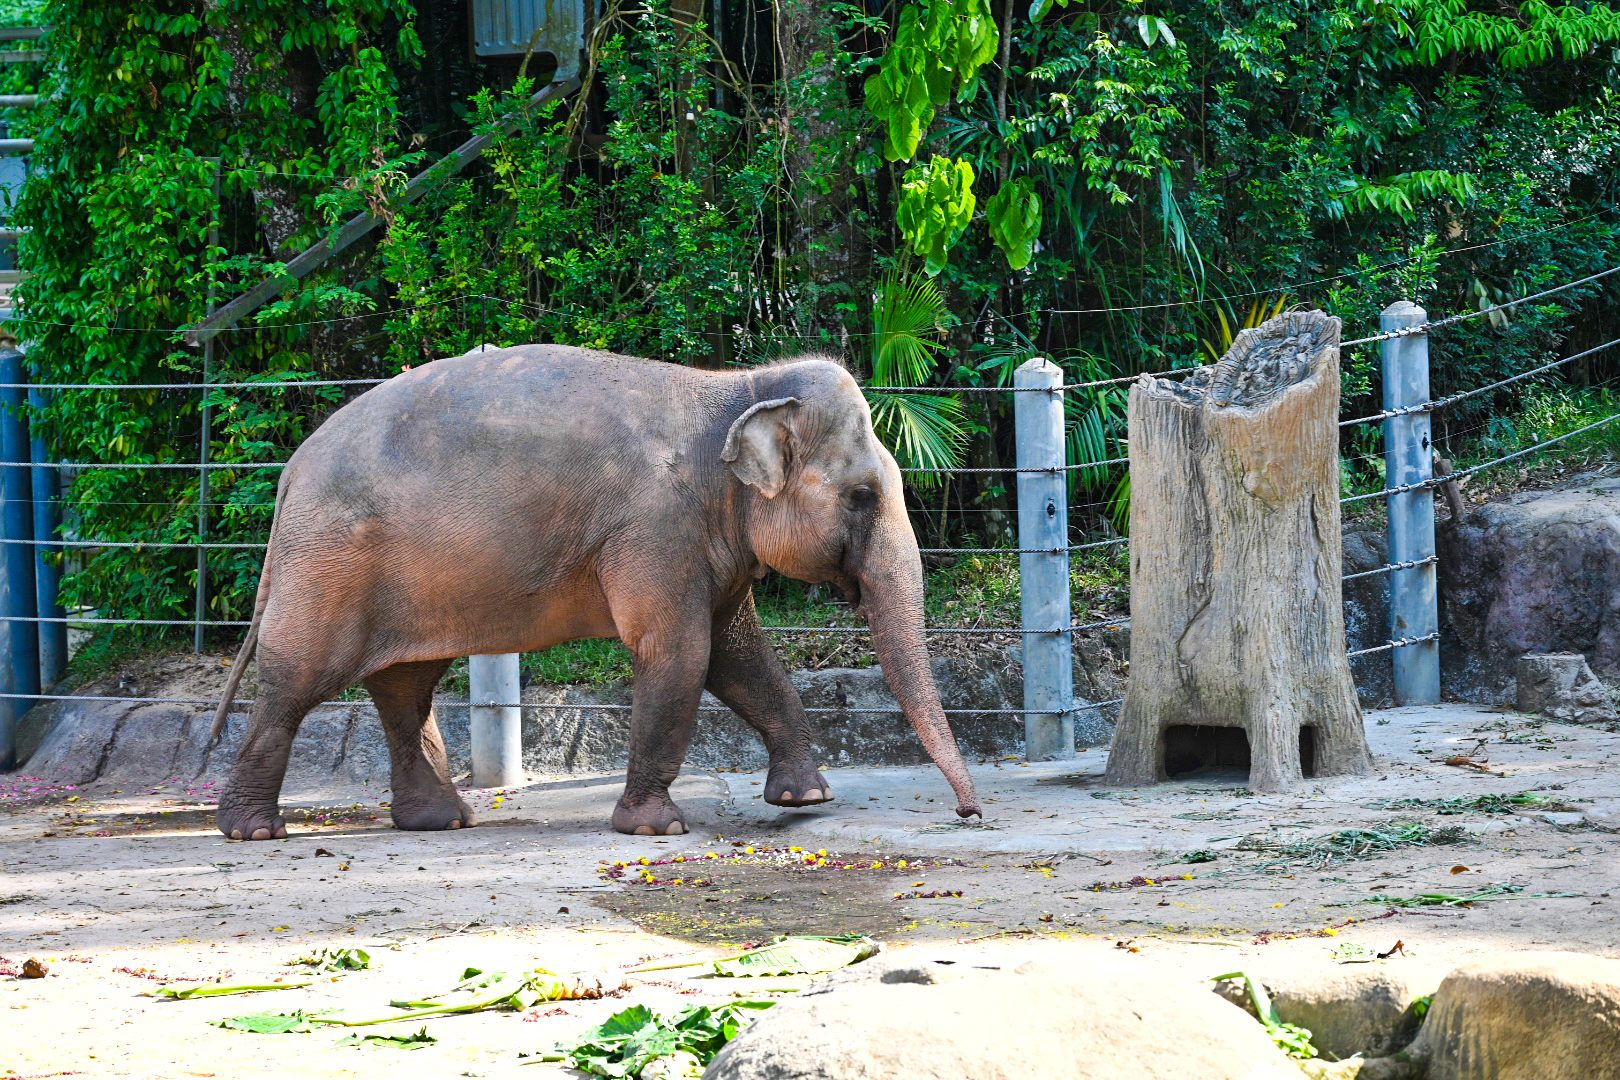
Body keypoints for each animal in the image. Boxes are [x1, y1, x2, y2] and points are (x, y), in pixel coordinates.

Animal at [208, 341, 978, 841]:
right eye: (861, 496)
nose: (968, 814)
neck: (735, 389)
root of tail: (293, 471)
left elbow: (740, 660)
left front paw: (806, 797)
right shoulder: (655, 529)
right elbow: (680, 652)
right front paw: (656, 829)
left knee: (405, 685)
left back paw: (438, 821)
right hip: (328, 565)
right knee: (296, 680)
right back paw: (254, 832)